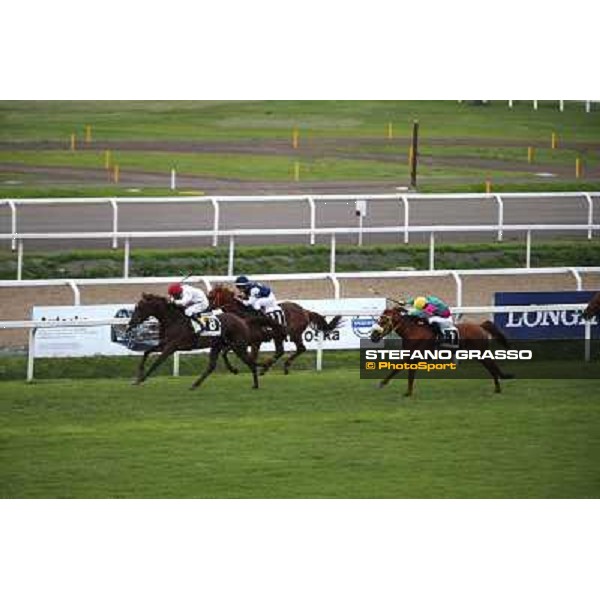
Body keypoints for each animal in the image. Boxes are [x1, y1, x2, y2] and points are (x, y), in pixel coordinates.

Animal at [125, 294, 258, 390]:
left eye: (140, 308)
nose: (130, 324)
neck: (174, 320)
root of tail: (241, 320)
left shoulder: (171, 346)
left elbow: (157, 362)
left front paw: (142, 379)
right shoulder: (164, 343)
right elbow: (146, 352)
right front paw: (138, 377)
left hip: (238, 346)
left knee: (251, 362)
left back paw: (255, 384)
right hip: (218, 346)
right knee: (211, 366)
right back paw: (195, 384)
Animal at [206, 286, 340, 376]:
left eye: (210, 297)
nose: (206, 309)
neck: (242, 315)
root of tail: (304, 310)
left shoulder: (253, 342)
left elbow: (250, 356)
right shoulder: (241, 342)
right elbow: (225, 353)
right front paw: (234, 370)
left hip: (294, 334)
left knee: (301, 348)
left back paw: (284, 366)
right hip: (278, 336)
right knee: (280, 351)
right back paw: (265, 369)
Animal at [370, 308, 516, 396]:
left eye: (383, 320)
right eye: (379, 319)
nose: (373, 336)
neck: (413, 331)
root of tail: (480, 326)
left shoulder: (414, 356)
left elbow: (401, 370)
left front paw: (404, 391)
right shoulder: (410, 355)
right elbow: (402, 370)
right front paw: (402, 390)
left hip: (480, 351)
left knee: (492, 366)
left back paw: (498, 387)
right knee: (491, 366)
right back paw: (498, 387)